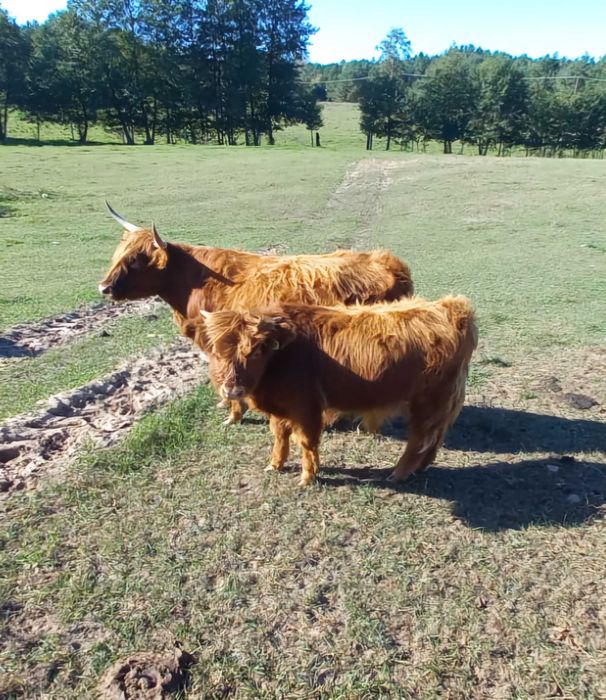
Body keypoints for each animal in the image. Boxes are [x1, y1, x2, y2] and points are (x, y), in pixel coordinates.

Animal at [98, 203, 414, 424]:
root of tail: (388, 262)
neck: (192, 285)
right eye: (120, 254)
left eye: (136, 260)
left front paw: (233, 413)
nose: (103, 287)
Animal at [187, 296, 477, 485]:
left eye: (257, 350)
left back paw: (398, 473)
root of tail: (451, 306)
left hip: (428, 400)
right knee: (435, 436)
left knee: (419, 438)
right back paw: (421, 468)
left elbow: (306, 442)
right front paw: (275, 465)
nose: (232, 390)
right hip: (442, 402)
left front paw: (307, 477)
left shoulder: (306, 407)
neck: (283, 356)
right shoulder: (281, 409)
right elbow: (280, 437)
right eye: (217, 350)